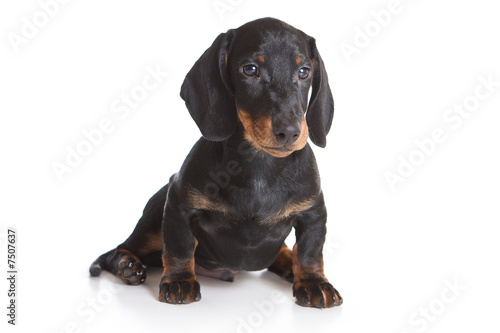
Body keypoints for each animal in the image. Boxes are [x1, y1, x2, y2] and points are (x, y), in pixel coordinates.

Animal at [90, 17, 342, 308]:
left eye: (304, 71)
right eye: (250, 69)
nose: (289, 132)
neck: (259, 165)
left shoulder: (314, 211)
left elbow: (310, 251)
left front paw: (314, 283)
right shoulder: (178, 201)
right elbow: (180, 246)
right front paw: (179, 280)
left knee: (284, 250)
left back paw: (288, 263)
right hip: (153, 218)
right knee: (120, 249)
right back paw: (128, 266)